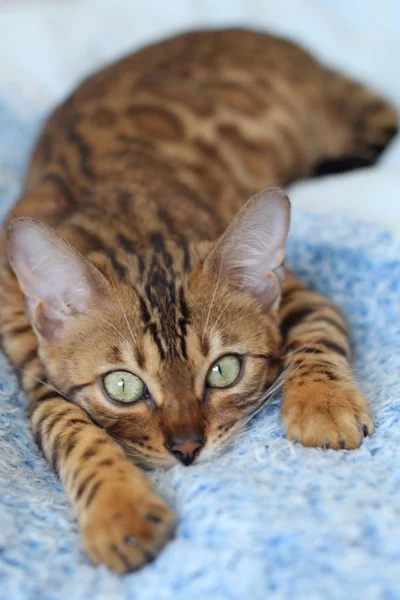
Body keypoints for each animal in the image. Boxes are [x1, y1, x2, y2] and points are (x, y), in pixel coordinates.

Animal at [0, 30, 396, 576]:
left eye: (223, 371)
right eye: (122, 385)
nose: (187, 447)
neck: (129, 225)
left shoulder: (301, 292)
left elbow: (315, 336)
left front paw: (323, 404)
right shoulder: (32, 369)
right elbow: (70, 428)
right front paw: (119, 510)